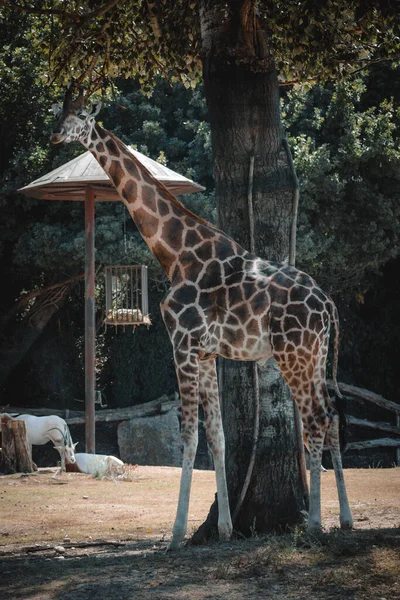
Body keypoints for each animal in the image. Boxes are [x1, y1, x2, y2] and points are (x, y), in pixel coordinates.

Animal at [50, 88, 354, 548]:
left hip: (293, 354)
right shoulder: (208, 353)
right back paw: (346, 520)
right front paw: (225, 528)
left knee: (316, 419)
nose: (54, 135)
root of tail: (328, 304)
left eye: (82, 116)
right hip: (316, 354)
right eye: (60, 112)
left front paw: (176, 533)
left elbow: (190, 438)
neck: (176, 254)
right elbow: (219, 437)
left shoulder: (182, 344)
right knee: (332, 416)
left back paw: (316, 523)